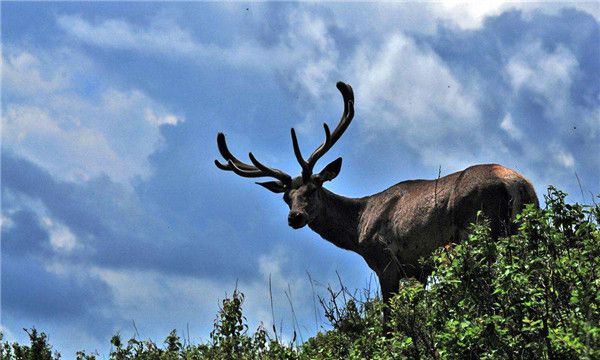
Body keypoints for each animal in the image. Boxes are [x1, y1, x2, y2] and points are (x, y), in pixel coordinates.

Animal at [216, 81, 540, 318]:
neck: (359, 228)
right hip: (525, 230)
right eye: (286, 197)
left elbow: (389, 321)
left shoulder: (386, 260)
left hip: (480, 230)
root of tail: (516, 185)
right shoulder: (418, 270)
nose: (295, 217)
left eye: (313, 189)